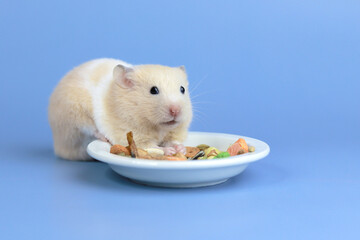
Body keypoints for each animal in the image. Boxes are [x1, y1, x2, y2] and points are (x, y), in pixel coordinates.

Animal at [50, 58, 194, 160]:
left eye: (182, 89)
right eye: (153, 90)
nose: (176, 111)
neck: (158, 127)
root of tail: (59, 148)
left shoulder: (174, 132)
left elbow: (172, 141)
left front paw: (180, 149)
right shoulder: (133, 135)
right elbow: (150, 146)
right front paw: (169, 151)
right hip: (74, 115)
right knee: (89, 129)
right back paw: (103, 137)